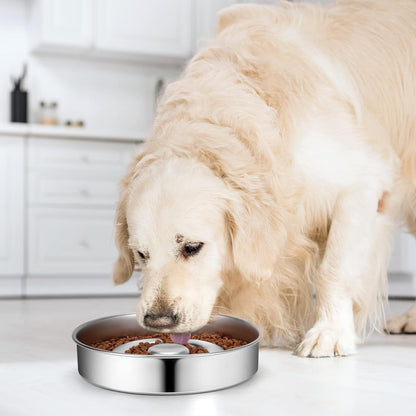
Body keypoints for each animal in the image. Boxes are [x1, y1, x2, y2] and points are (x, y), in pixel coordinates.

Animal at [111, 0, 416, 358]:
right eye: (141, 254)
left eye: (192, 247)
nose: (157, 320)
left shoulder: (362, 185)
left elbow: (334, 269)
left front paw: (329, 332)